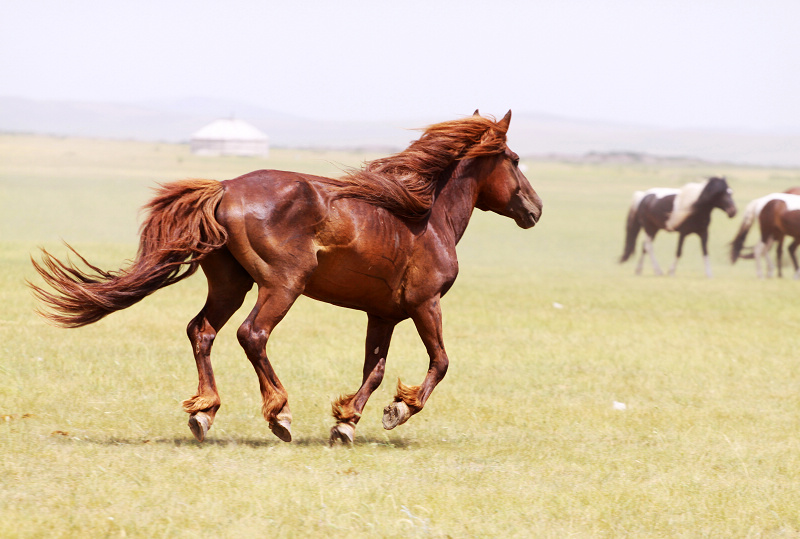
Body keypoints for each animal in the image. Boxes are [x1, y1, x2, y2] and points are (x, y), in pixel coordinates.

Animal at [29, 109, 544, 442]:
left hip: (231, 284)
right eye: (516, 160)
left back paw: (204, 413)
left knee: (202, 331)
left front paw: (345, 422)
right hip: (283, 285)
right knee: (251, 334)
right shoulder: (425, 304)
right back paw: (279, 415)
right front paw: (397, 412)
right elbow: (440, 362)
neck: (427, 220)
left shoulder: (382, 314)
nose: (535, 210)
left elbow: (374, 369)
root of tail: (224, 189)